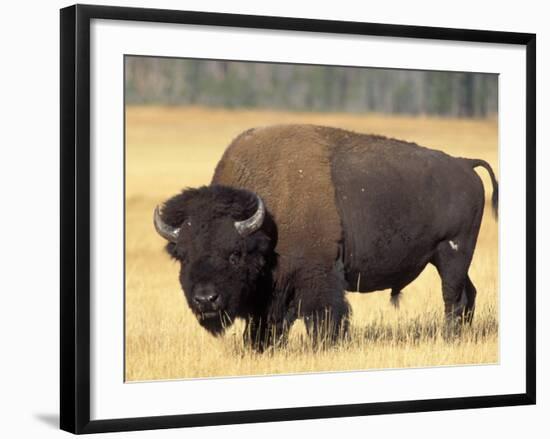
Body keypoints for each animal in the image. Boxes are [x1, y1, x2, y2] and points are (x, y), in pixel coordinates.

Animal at [153, 125, 498, 352]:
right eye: (183, 255)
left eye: (235, 254)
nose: (205, 299)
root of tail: (464, 164)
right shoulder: (272, 293)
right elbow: (266, 324)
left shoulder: (317, 276)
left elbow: (323, 316)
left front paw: (326, 346)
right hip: (447, 258)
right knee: (468, 294)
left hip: (452, 252)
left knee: (453, 297)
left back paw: (449, 338)